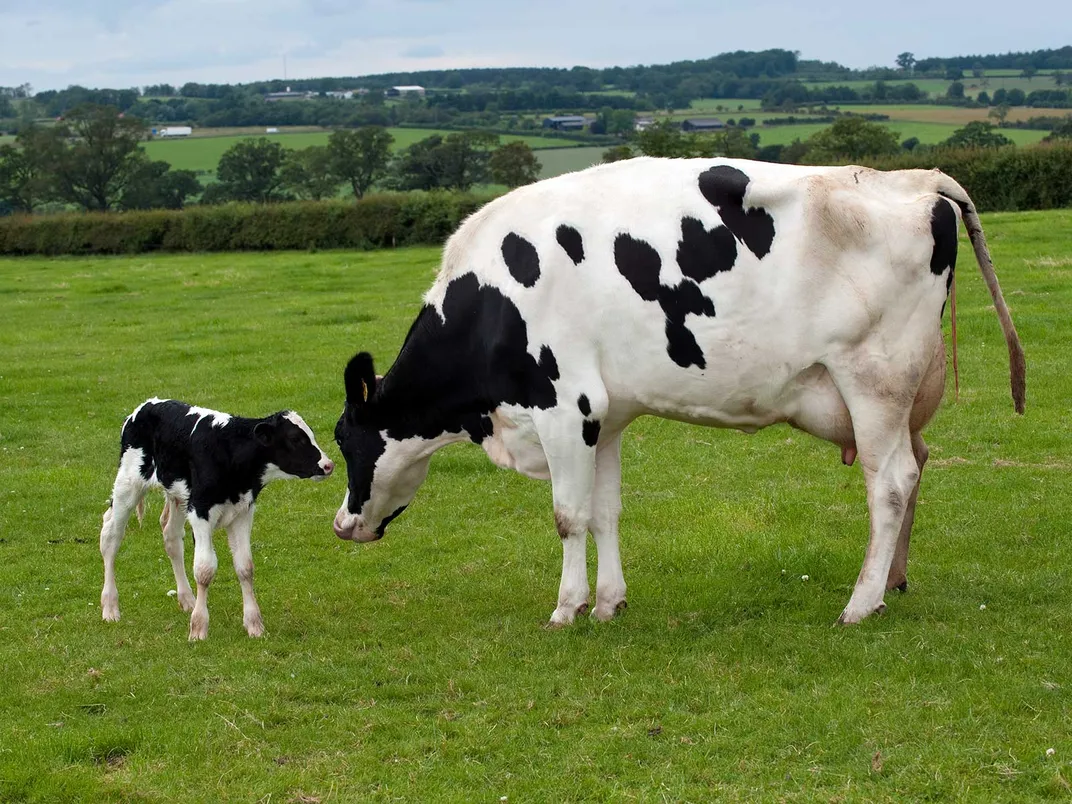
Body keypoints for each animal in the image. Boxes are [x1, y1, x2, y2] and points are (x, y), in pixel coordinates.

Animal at [101, 398, 334, 643]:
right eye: (295, 439)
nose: (328, 465)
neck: (230, 453)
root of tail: (146, 406)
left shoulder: (242, 512)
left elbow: (245, 567)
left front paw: (254, 625)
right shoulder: (201, 511)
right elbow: (204, 570)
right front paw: (198, 628)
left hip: (178, 496)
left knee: (171, 538)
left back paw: (187, 599)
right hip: (129, 483)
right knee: (110, 535)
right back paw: (110, 607)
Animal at [330, 158, 1024, 630]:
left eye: (345, 439)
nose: (341, 525)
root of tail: (914, 179)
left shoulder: (563, 408)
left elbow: (567, 515)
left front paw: (566, 607)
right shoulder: (603, 417)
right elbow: (605, 511)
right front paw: (608, 603)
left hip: (873, 381)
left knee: (892, 482)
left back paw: (860, 602)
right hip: (899, 395)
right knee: (917, 465)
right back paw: (890, 586)